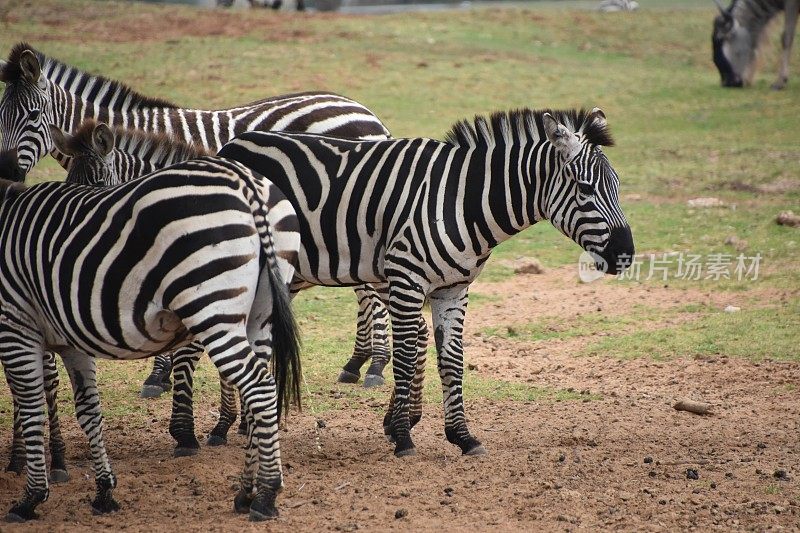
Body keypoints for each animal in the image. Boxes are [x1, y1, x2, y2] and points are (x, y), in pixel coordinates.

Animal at [0, 40, 394, 390]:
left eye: (32, 116)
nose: (7, 170)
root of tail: (364, 111)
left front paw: (159, 374)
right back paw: (358, 362)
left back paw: (373, 364)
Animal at [0, 156, 304, 520]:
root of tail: (243, 179)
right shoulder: (68, 338)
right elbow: (88, 410)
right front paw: (103, 492)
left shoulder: (16, 323)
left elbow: (30, 407)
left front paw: (30, 497)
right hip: (261, 311)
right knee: (257, 390)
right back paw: (246, 491)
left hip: (211, 305)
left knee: (259, 387)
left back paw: (266, 495)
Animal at [214, 107, 636, 454]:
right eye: (586, 189)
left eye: (618, 186)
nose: (626, 254)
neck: (462, 202)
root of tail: (234, 145)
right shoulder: (406, 278)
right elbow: (404, 357)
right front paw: (403, 437)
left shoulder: (453, 289)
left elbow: (451, 361)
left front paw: (462, 436)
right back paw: (219, 428)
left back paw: (248, 423)